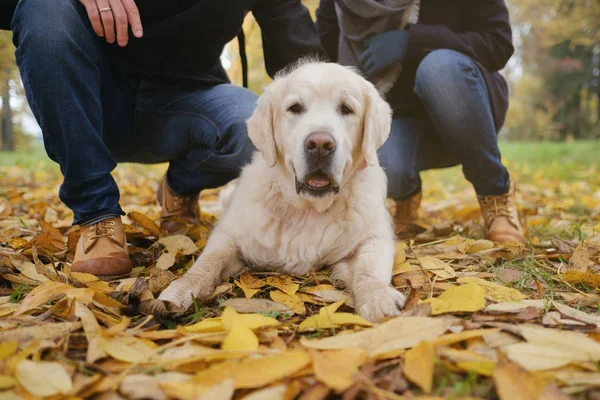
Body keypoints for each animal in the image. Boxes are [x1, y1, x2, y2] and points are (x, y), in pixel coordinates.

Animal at [158, 60, 408, 322]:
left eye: (346, 108)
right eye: (295, 108)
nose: (320, 144)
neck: (308, 208)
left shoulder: (374, 237)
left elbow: (369, 268)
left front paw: (378, 297)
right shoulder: (231, 234)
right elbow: (210, 259)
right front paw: (184, 287)